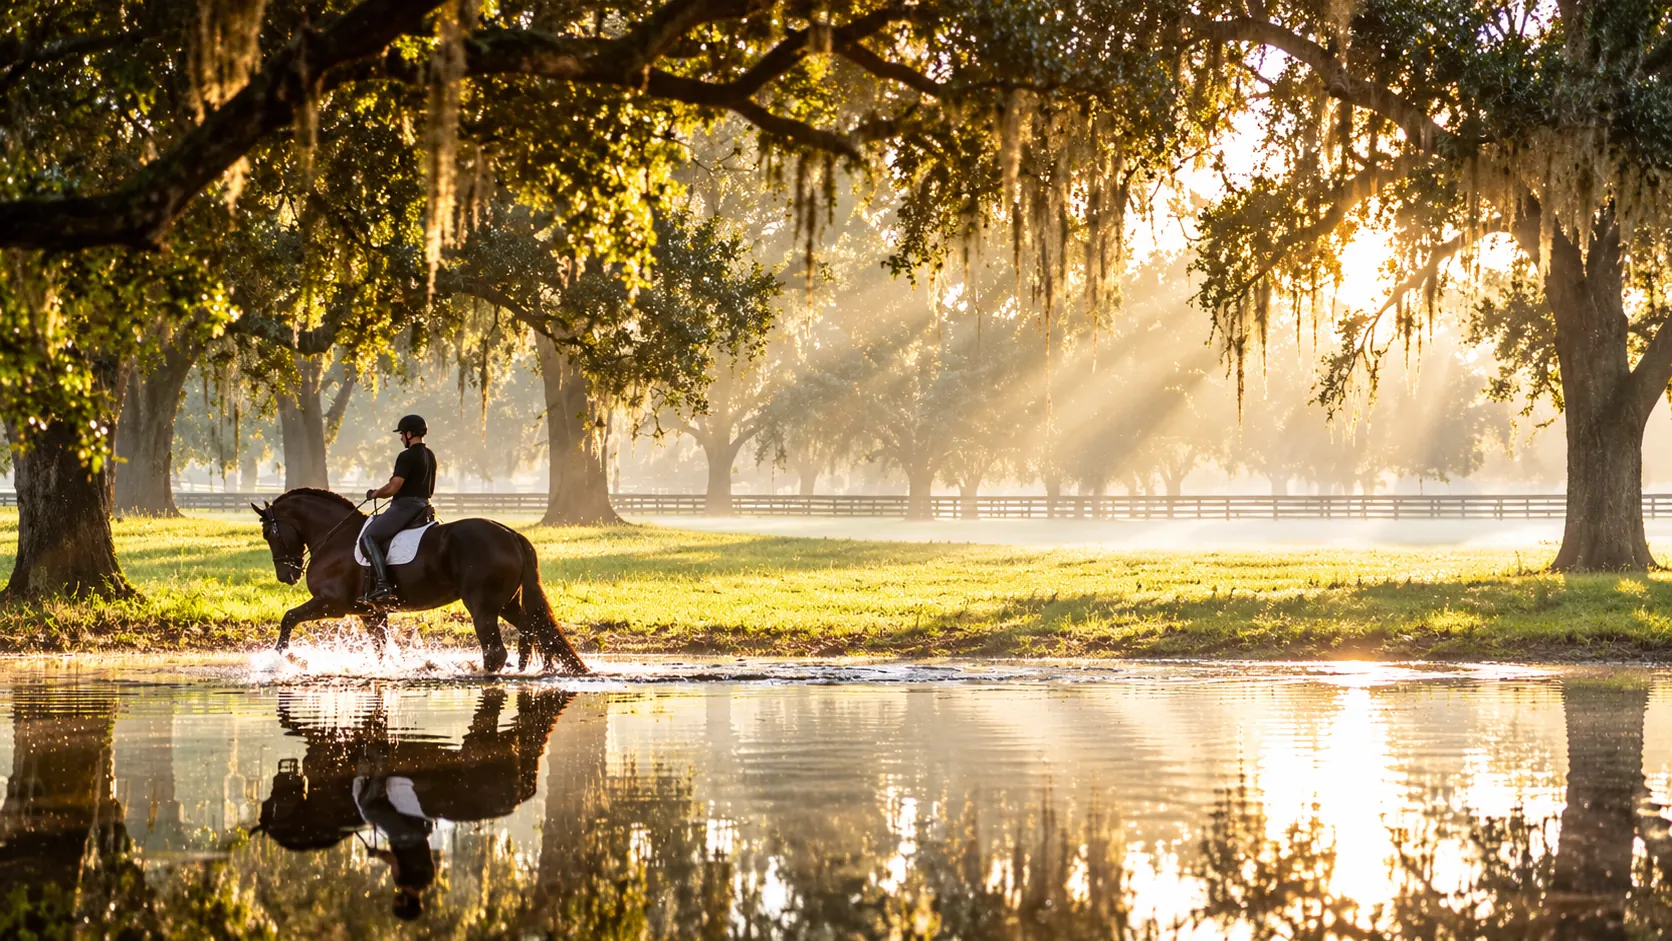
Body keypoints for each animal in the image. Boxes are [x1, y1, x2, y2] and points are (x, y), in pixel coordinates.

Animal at [251, 488, 589, 675]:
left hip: (482, 608)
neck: (336, 538)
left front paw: (277, 660)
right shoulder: (371, 613)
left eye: (268, 533)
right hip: (507, 604)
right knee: (539, 631)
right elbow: (380, 650)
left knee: (495, 652)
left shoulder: (332, 605)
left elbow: (288, 618)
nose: (287, 575)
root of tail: (511, 534)